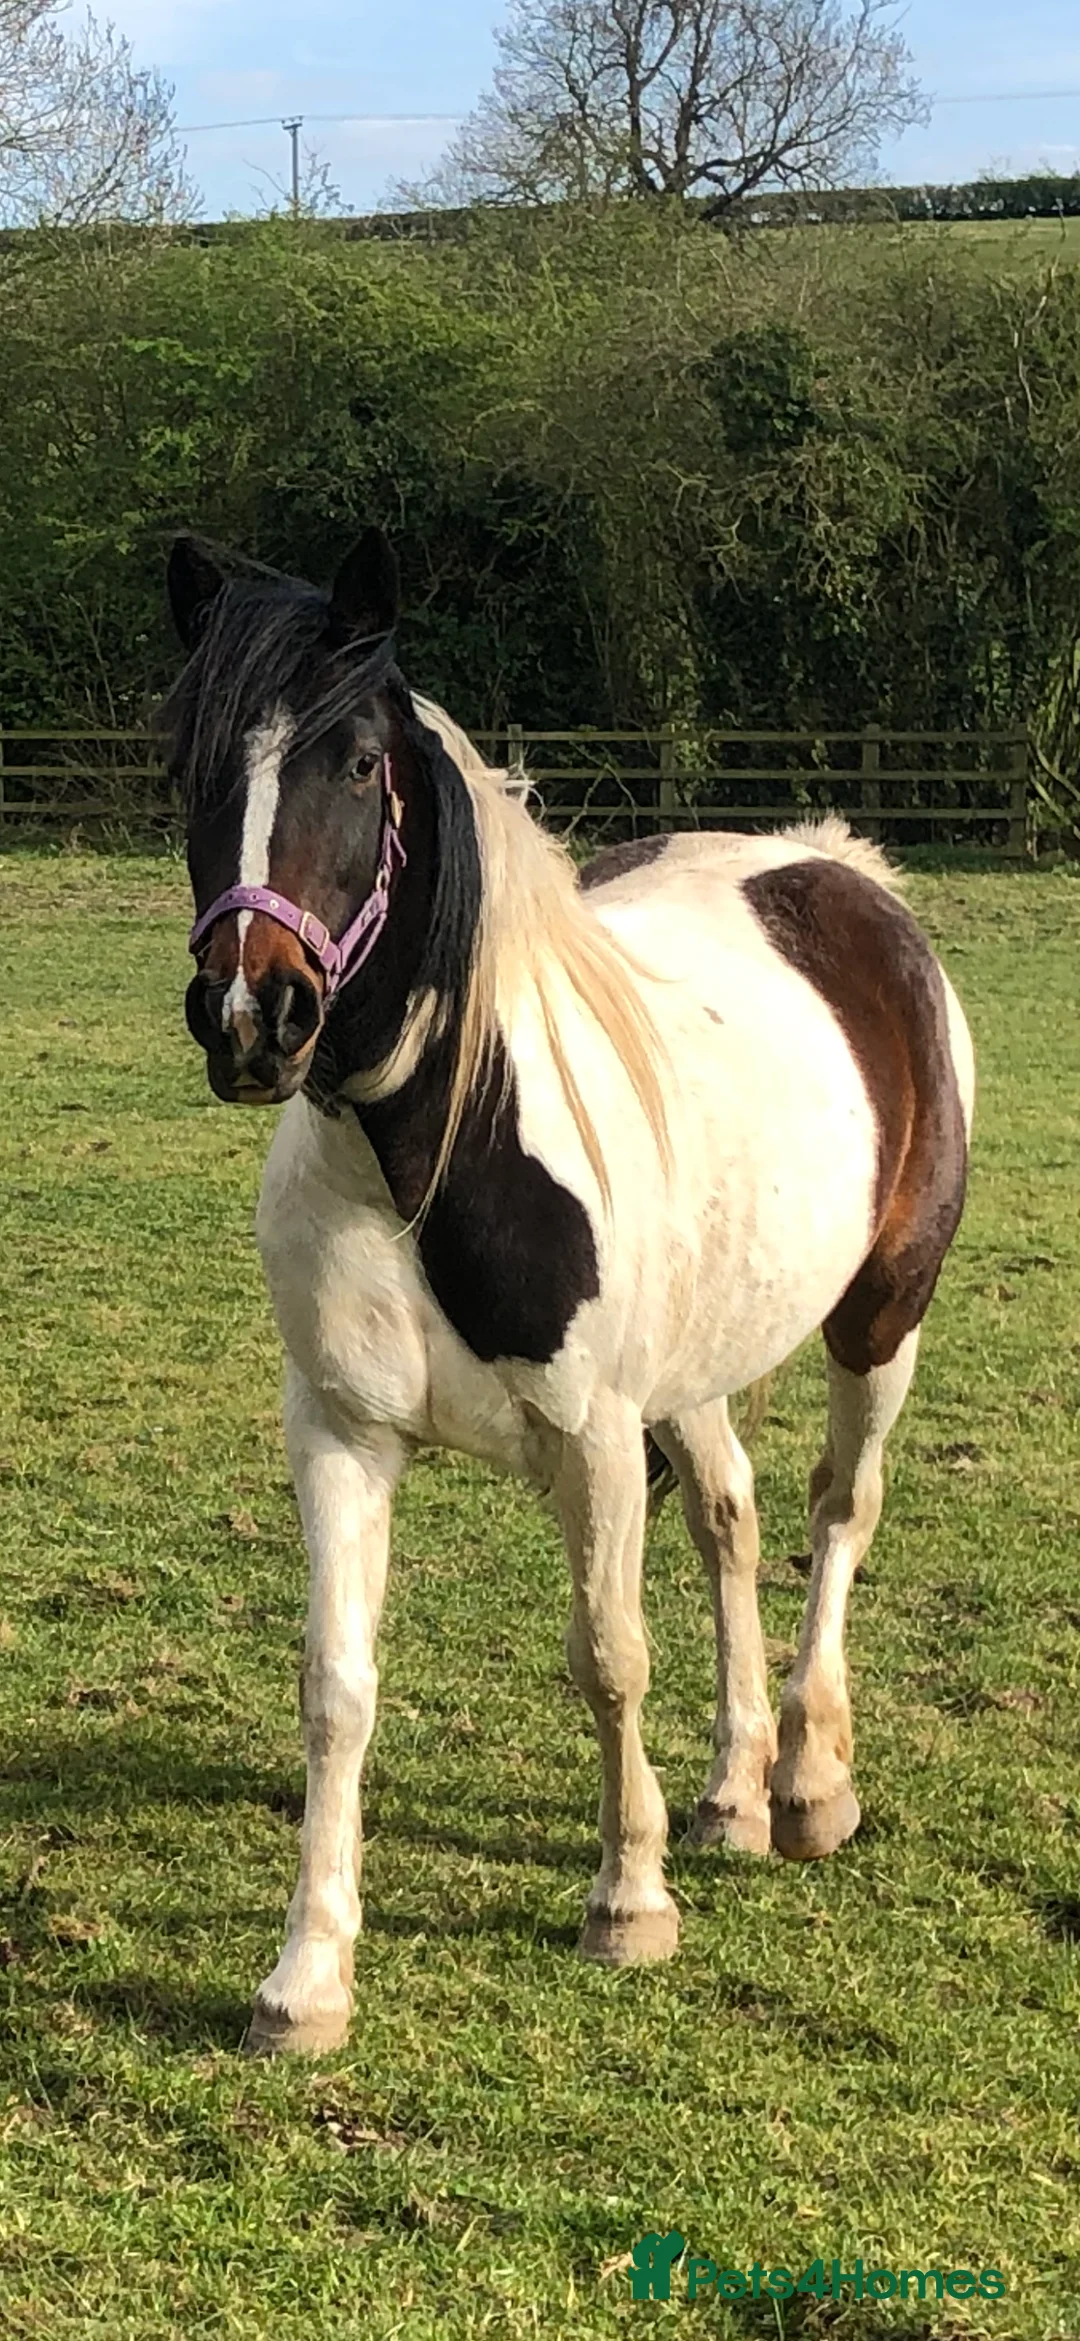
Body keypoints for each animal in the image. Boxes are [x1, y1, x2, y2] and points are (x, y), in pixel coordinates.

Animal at [163, 527, 975, 2056]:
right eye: (189, 759)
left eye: (358, 762)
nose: (255, 1015)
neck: (434, 1152)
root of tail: (838, 870)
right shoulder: (340, 1434)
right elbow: (336, 1688)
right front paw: (307, 1974)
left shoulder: (594, 1440)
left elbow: (608, 1656)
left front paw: (627, 1900)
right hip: (698, 1367)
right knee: (731, 1519)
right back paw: (732, 1787)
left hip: (879, 1321)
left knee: (839, 1513)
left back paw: (809, 1780)